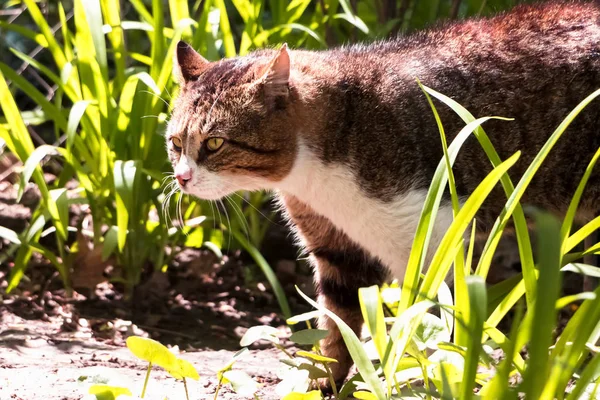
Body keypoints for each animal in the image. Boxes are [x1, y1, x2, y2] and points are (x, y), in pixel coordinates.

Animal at [166, 0, 600, 388]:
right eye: (175, 143)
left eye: (215, 143)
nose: (182, 178)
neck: (314, 178)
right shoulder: (336, 249)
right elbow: (337, 325)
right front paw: (324, 383)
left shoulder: (434, 240)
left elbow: (434, 325)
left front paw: (440, 378)